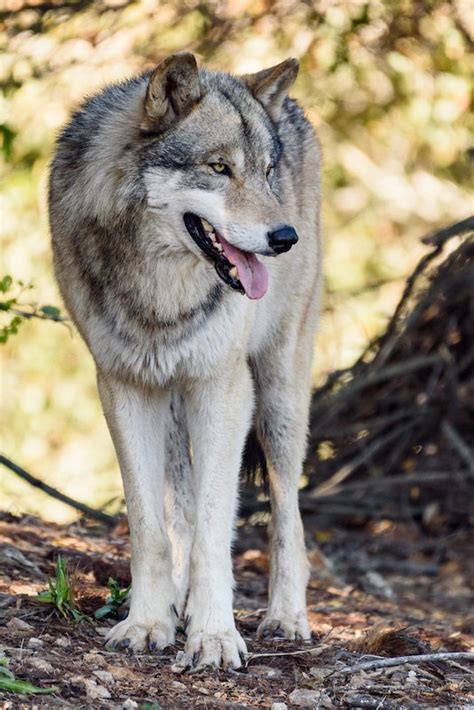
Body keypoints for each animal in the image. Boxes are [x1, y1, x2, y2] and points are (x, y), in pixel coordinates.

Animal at [49, 52, 322, 672]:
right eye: (219, 168)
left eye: (266, 171)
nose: (285, 236)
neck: (161, 291)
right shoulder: (123, 385)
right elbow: (153, 526)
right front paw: (148, 622)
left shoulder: (224, 388)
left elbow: (215, 531)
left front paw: (215, 636)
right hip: (172, 398)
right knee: (181, 503)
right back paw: (176, 601)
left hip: (277, 396)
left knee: (289, 517)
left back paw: (286, 618)